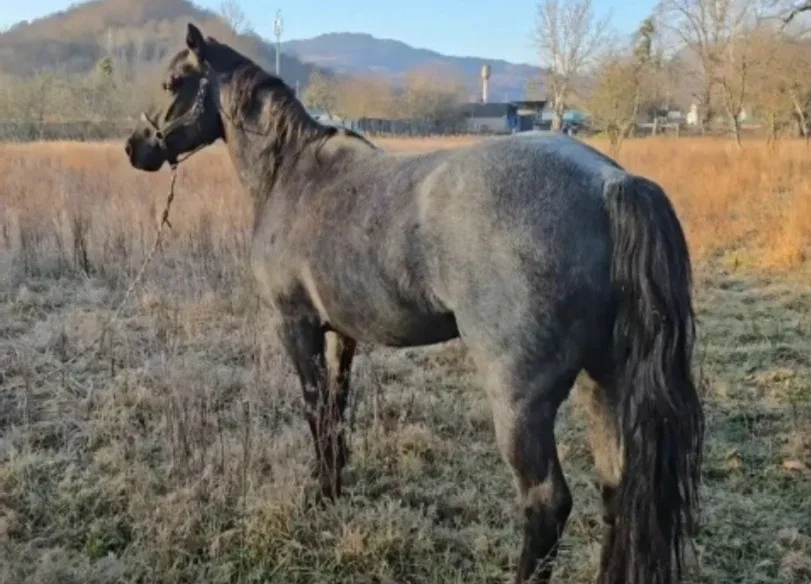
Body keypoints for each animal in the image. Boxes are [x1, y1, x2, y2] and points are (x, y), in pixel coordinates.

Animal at [124, 23, 704, 584]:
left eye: (173, 83)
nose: (136, 148)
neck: (293, 174)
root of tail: (610, 182)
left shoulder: (296, 326)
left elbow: (315, 409)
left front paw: (318, 495)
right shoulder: (341, 334)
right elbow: (336, 412)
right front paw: (333, 487)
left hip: (521, 399)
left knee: (547, 505)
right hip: (605, 379)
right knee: (617, 491)